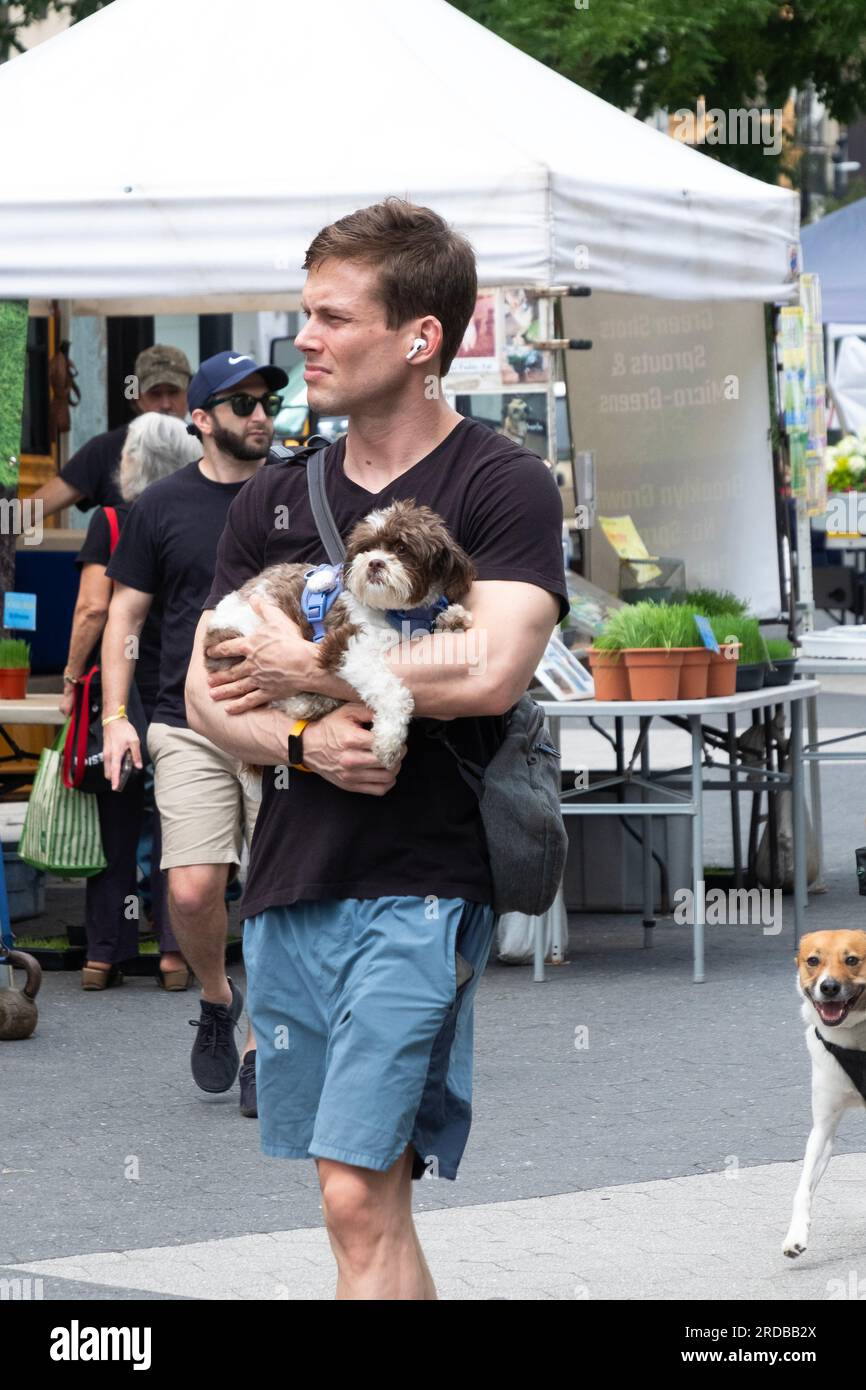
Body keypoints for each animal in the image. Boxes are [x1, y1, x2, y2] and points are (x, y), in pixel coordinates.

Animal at [205, 500, 475, 767]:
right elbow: (390, 690)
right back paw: (306, 704)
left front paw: (451, 618)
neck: (397, 613)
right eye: (367, 548)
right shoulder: (347, 645)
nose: (375, 562)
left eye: (401, 548)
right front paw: (389, 739)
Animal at [783, 934, 866, 1262]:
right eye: (813, 960)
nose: (828, 987)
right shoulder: (823, 1127)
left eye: (852, 959)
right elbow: (803, 1187)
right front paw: (795, 1236)